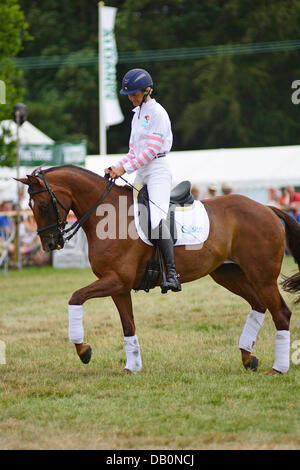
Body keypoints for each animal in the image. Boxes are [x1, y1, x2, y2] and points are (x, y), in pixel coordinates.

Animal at [17, 164, 300, 374]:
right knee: (258, 305)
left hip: (262, 277)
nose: (49, 244)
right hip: (229, 274)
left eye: (43, 205)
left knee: (281, 313)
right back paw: (248, 358)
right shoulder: (119, 287)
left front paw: (83, 350)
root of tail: (268, 209)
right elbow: (128, 325)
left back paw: (278, 368)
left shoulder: (116, 280)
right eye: (30, 207)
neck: (107, 216)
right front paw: (132, 366)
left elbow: (75, 297)